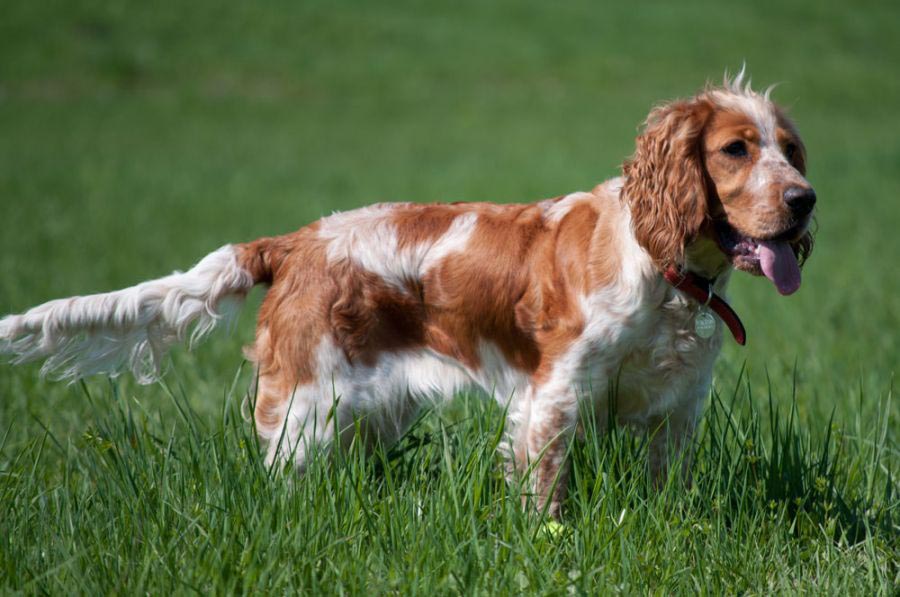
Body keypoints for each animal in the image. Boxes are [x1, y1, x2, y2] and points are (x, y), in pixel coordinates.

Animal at [0, 72, 816, 516]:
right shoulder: (552, 399)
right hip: (305, 414)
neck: (663, 269)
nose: (805, 200)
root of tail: (293, 241)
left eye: (791, 150)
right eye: (735, 149)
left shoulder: (677, 411)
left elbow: (662, 495)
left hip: (368, 415)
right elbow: (545, 498)